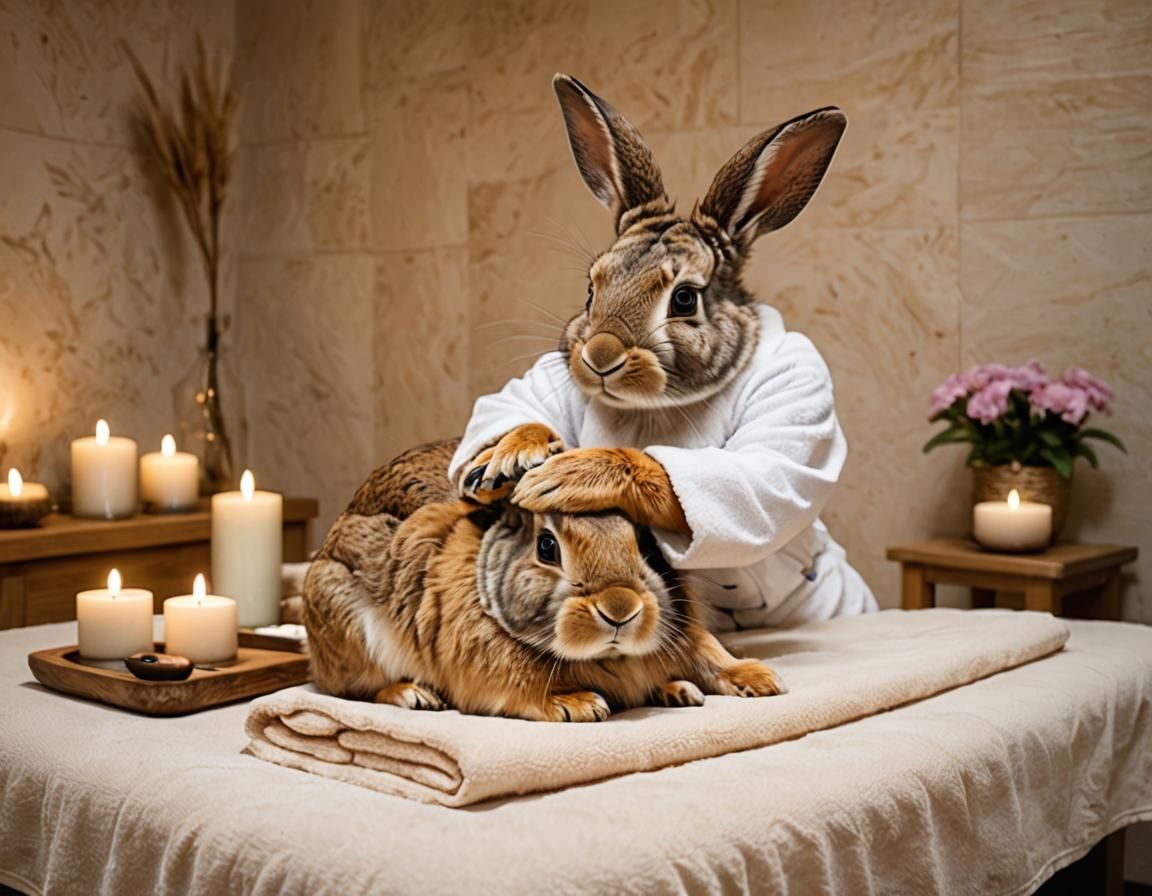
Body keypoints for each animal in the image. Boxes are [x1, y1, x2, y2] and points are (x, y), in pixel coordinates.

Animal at [302, 431, 783, 722]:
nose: (620, 609)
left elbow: (710, 653)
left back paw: (678, 689)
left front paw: (761, 681)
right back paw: (411, 695)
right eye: (547, 547)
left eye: (648, 545)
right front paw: (579, 704)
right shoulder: (488, 664)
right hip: (346, 622)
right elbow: (524, 686)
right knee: (352, 689)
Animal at [450, 75, 876, 629]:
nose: (599, 355)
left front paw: (562, 478)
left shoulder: (789, 411)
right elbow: (507, 413)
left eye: (684, 298)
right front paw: (506, 458)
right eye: (591, 289)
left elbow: (732, 479)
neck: (653, 405)